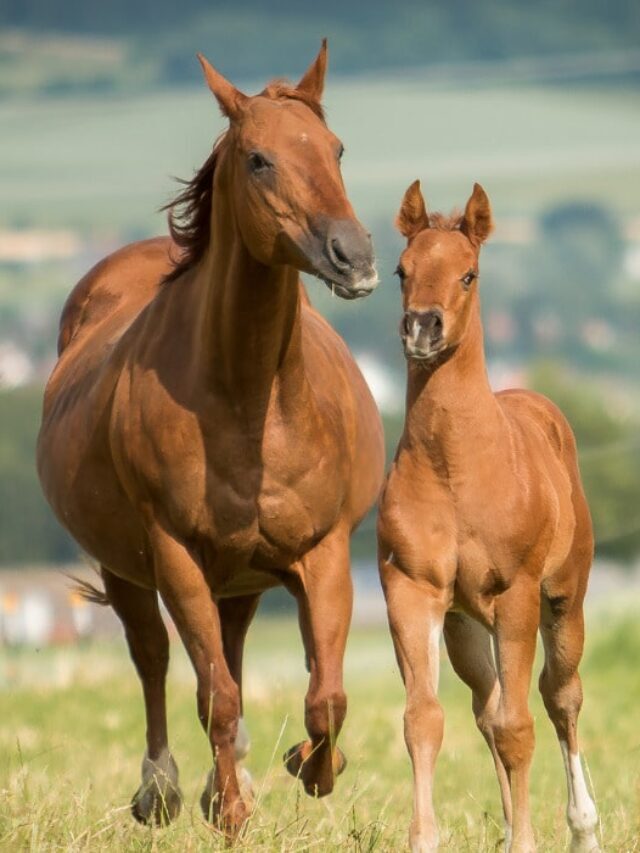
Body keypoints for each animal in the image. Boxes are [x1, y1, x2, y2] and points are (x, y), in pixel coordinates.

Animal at [37, 41, 385, 836]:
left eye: (336, 148)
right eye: (258, 159)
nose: (353, 257)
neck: (251, 402)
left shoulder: (322, 554)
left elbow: (327, 698)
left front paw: (308, 767)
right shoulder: (175, 556)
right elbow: (213, 695)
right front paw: (227, 811)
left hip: (243, 577)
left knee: (230, 649)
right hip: (129, 569)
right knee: (156, 657)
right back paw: (163, 789)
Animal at [377, 181, 599, 853]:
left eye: (468, 274)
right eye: (401, 270)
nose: (421, 327)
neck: (457, 469)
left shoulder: (516, 595)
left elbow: (520, 726)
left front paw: (526, 840)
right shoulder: (411, 590)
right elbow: (423, 720)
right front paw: (425, 838)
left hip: (562, 601)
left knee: (560, 697)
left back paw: (584, 827)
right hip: (465, 627)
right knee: (486, 706)